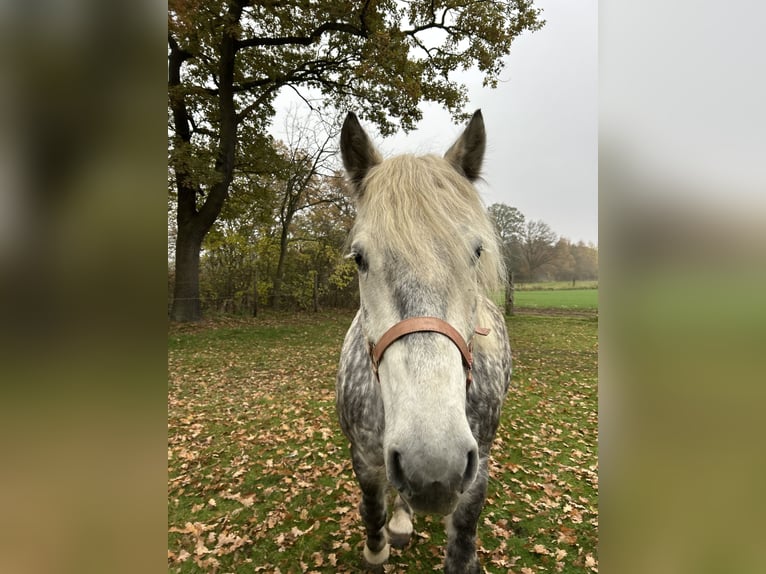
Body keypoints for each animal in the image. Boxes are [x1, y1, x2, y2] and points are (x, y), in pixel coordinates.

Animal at [338, 110, 512, 572]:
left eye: (476, 252)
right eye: (359, 258)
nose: (434, 464)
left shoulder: (478, 464)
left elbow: (463, 536)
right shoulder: (364, 457)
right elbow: (372, 508)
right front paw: (376, 548)